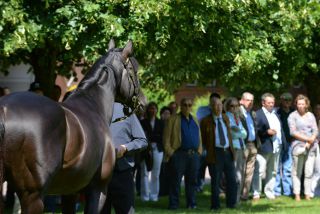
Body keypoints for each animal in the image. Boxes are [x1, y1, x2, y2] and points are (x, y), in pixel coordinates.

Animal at [0, 39, 142, 212]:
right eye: (134, 70)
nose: (142, 102)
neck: (94, 105)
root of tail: (5, 108)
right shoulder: (98, 189)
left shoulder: (69, 191)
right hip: (33, 197)